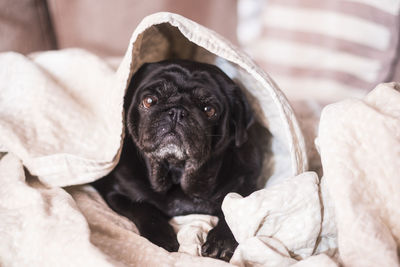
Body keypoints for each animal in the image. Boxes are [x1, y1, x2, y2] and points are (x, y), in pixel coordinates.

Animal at [92, 59, 264, 262]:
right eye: (149, 101)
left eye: (209, 110)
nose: (177, 111)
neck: (176, 171)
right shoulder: (117, 192)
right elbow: (143, 207)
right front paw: (161, 235)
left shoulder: (245, 187)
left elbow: (232, 213)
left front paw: (221, 241)